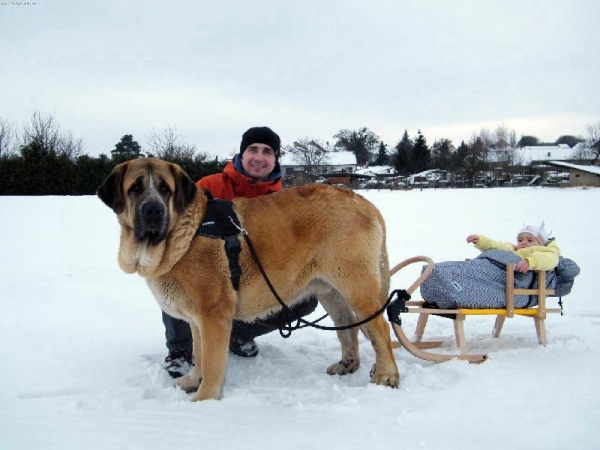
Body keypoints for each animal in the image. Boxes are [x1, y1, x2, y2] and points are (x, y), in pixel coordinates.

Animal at [97, 158, 398, 400]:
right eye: (135, 188)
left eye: (165, 189)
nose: (153, 210)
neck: (185, 233)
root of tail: (364, 202)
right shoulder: (197, 319)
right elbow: (200, 355)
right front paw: (193, 381)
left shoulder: (213, 314)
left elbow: (212, 362)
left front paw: (204, 399)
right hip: (328, 290)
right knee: (348, 326)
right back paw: (347, 365)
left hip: (356, 285)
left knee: (379, 328)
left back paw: (387, 375)